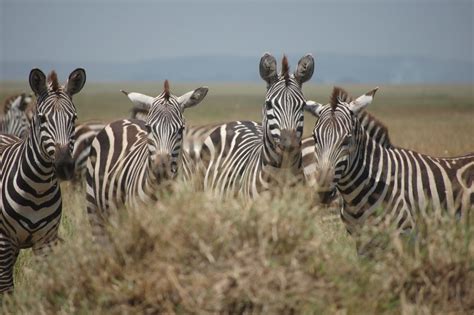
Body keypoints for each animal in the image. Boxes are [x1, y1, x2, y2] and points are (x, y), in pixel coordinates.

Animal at [0, 68, 86, 292]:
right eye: (42, 118)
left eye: (74, 118)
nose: (64, 165)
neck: (37, 189)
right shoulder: (4, 240)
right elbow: (7, 289)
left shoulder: (45, 241)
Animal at [85, 80, 207, 236]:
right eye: (148, 128)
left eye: (181, 129)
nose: (161, 169)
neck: (161, 190)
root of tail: (123, 120)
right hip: (94, 210)